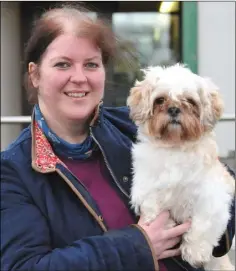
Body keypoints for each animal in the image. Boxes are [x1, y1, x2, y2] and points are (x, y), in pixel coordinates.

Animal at [128, 64, 235, 270]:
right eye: (160, 100)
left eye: (190, 101)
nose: (174, 109)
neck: (176, 146)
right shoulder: (146, 186)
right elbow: (152, 207)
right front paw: (166, 225)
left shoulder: (211, 198)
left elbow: (202, 225)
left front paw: (194, 253)